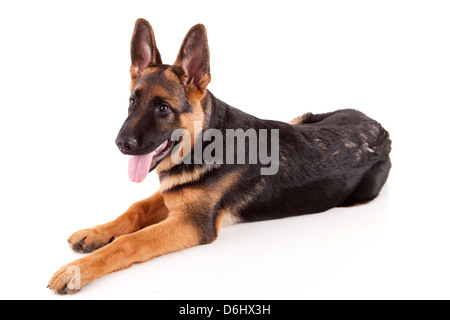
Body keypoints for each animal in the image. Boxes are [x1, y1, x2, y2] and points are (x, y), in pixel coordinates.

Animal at [48, 19, 390, 296]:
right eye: (132, 101)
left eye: (163, 108)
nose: (121, 144)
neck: (204, 141)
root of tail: (380, 127)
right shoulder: (174, 194)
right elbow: (135, 209)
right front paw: (95, 233)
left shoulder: (192, 223)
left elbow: (131, 241)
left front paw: (77, 269)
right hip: (299, 118)